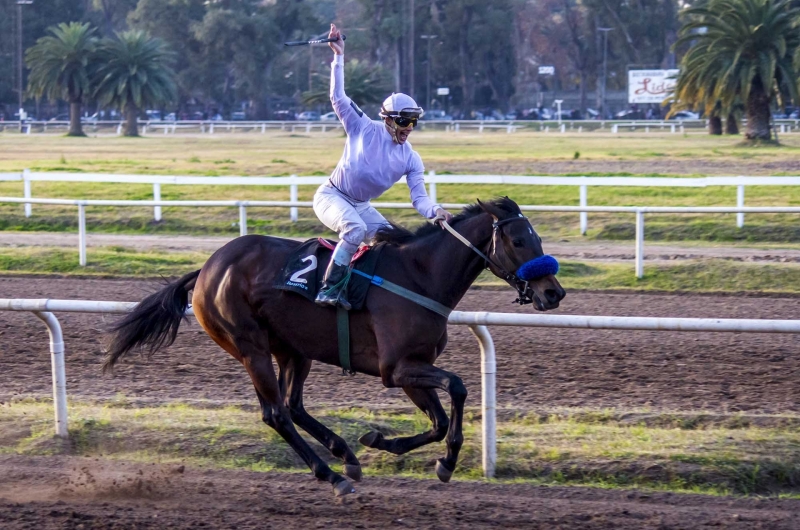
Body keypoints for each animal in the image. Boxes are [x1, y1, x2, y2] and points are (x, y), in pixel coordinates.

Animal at [106, 195, 564, 496]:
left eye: (538, 238)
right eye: (519, 241)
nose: (553, 293)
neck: (419, 276)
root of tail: (205, 269)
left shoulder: (411, 368)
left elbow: (437, 421)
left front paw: (383, 442)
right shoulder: (396, 368)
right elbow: (457, 386)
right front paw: (444, 459)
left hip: (293, 349)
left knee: (293, 406)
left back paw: (346, 455)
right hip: (249, 346)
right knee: (276, 413)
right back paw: (332, 474)